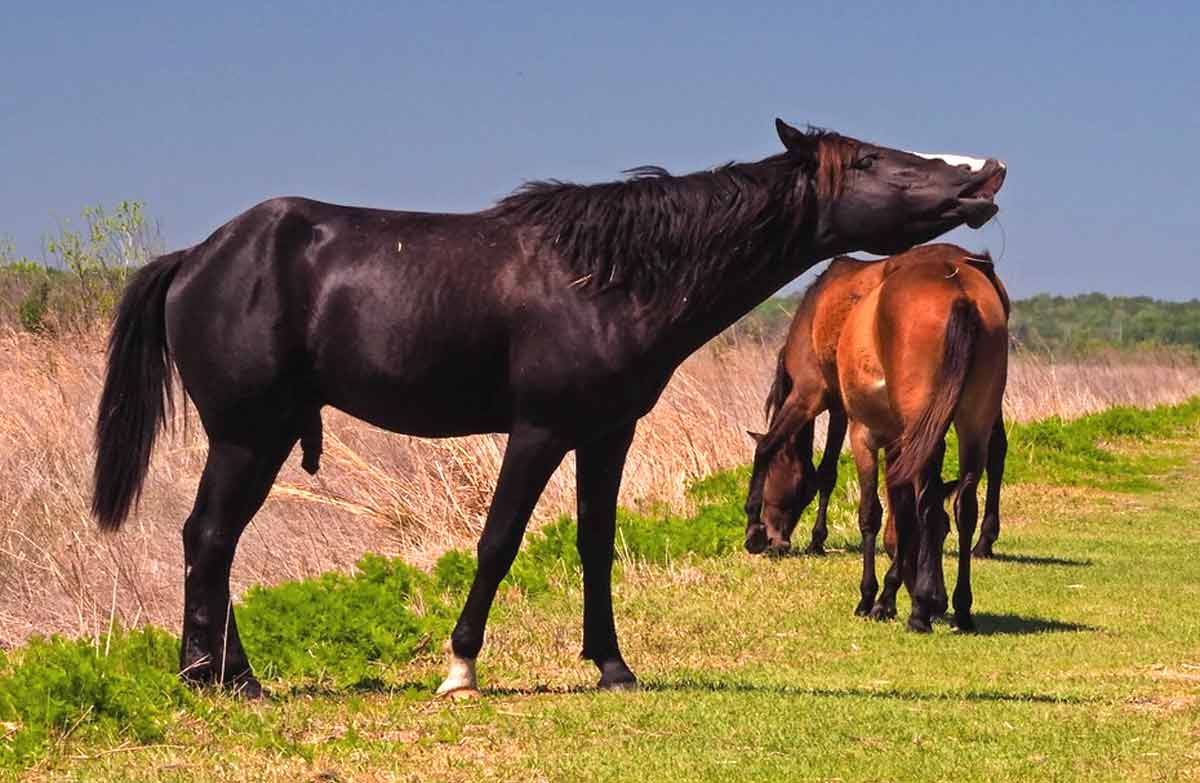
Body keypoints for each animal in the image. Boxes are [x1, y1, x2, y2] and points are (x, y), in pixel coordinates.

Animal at [744, 245, 1009, 633]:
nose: (777, 541)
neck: (816, 311)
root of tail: (961, 284)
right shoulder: (846, 411)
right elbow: (839, 479)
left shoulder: (811, 395)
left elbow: (773, 450)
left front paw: (756, 528)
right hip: (974, 416)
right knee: (972, 490)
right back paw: (965, 588)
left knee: (929, 505)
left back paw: (922, 607)